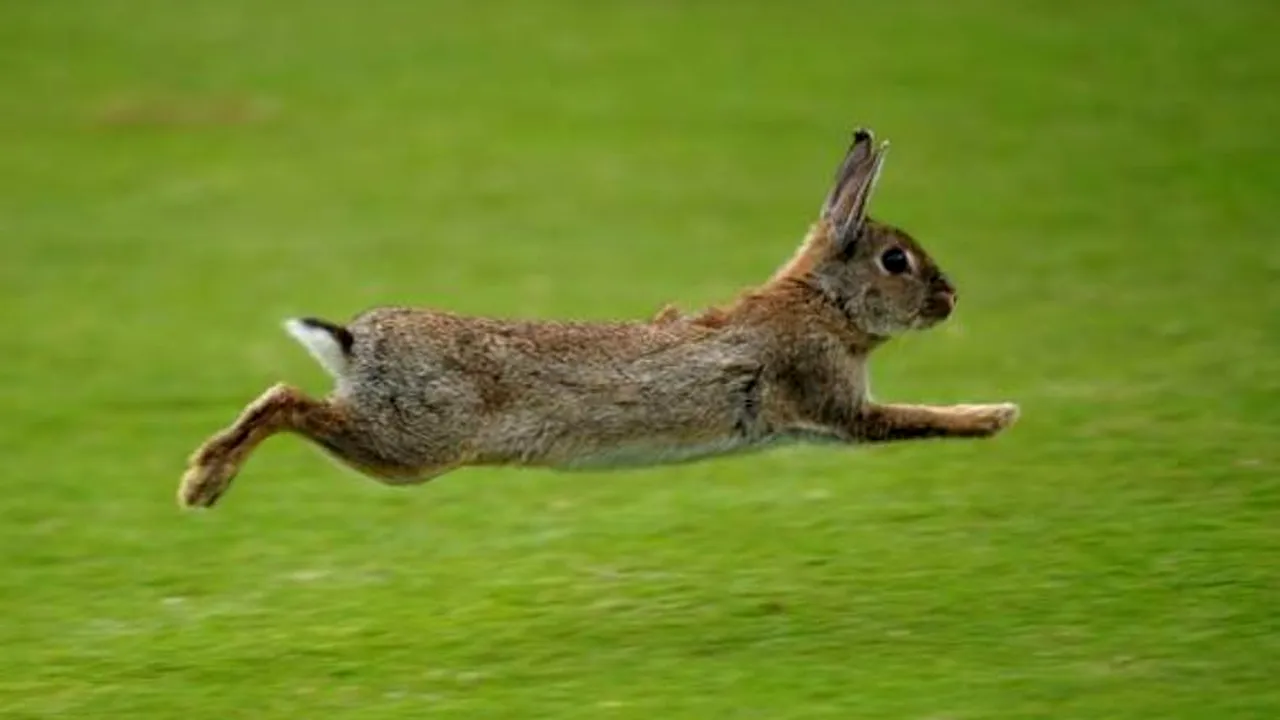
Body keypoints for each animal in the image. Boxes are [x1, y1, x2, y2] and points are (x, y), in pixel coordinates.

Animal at [178, 128, 1018, 509]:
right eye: (896, 261)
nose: (951, 299)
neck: (822, 301)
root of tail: (357, 344)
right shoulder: (832, 401)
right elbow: (915, 420)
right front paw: (997, 416)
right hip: (412, 443)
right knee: (289, 402)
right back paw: (203, 483)